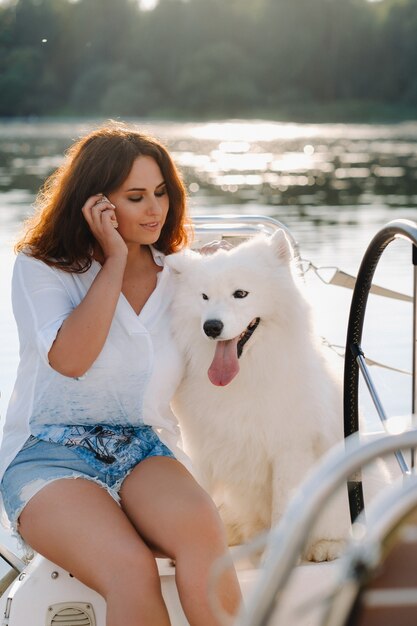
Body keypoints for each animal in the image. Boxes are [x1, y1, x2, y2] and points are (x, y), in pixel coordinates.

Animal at [164, 227, 350, 560]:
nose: (211, 327)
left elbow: (283, 511)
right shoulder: (201, 449)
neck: (246, 374)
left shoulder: (289, 452)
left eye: (240, 294)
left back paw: (324, 548)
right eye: (204, 297)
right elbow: (199, 494)